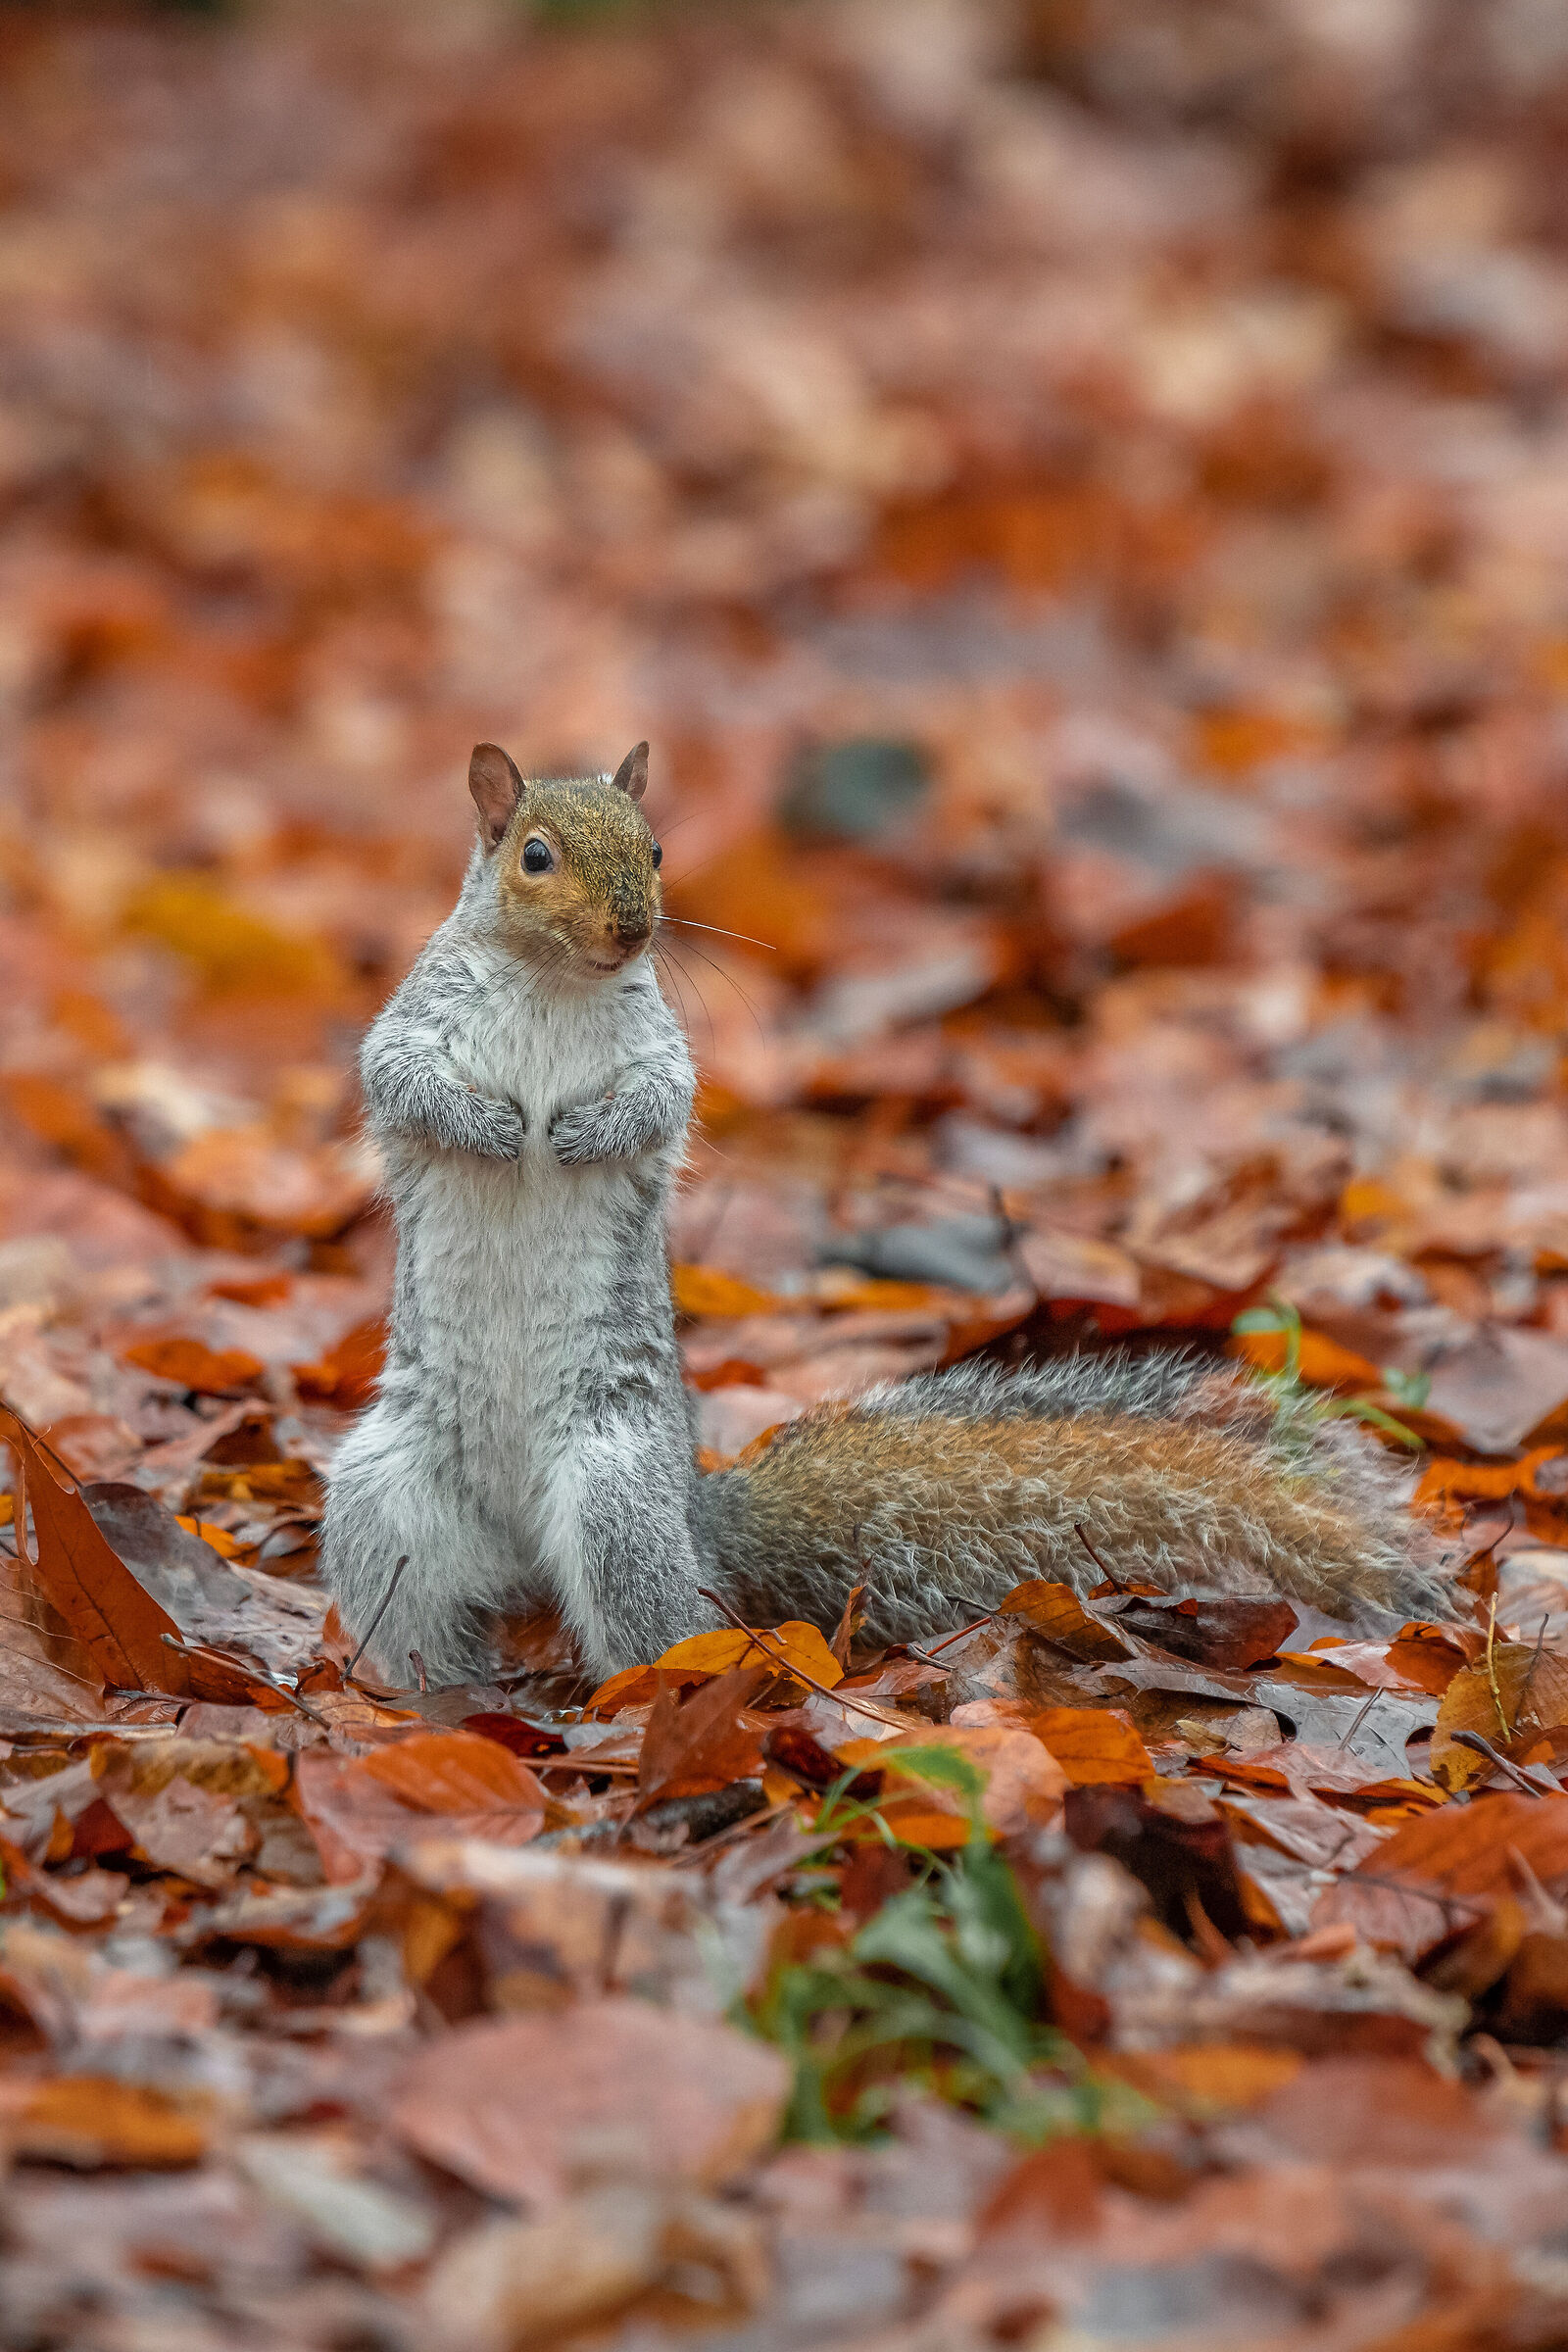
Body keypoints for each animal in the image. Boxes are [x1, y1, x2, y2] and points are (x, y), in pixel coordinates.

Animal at [320, 742, 1451, 1687]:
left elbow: (658, 1103)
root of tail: (688, 1514)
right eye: (535, 855)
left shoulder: (661, 1053)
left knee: (657, 1621)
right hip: (384, 1497)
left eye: (655, 848)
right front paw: (491, 1127)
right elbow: (396, 1077)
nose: (632, 928)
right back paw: (415, 1688)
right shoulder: (416, 1019)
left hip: (615, 1505)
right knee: (407, 1602)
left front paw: (581, 1136)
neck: (555, 984)